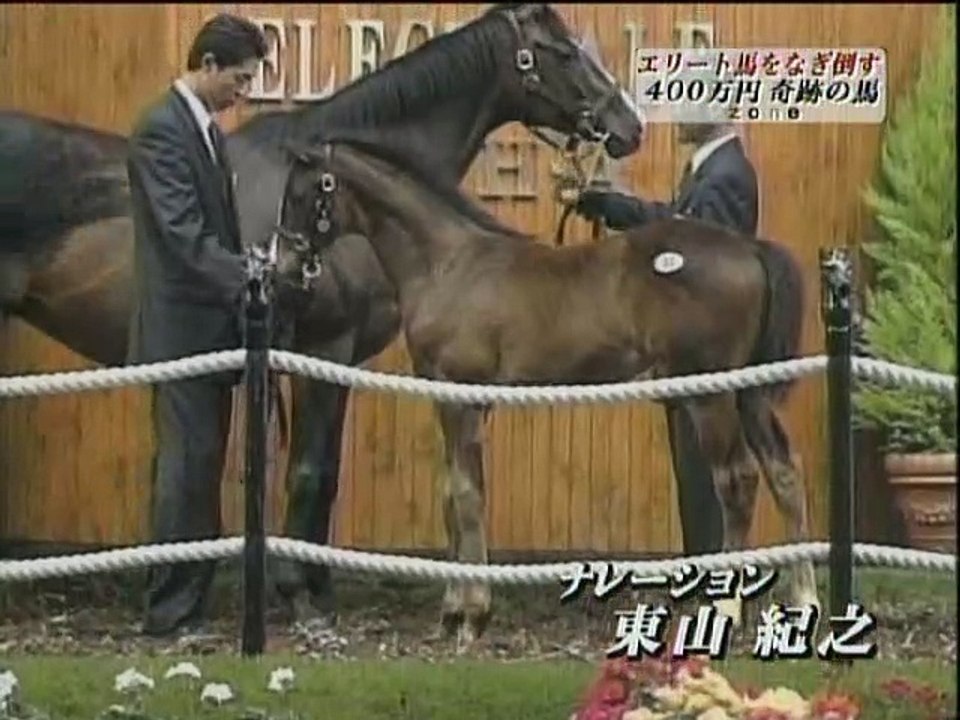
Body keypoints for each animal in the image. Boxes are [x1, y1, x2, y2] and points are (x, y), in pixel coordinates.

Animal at [0, 3, 645, 631]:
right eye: (563, 52)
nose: (628, 126)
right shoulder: (323, 346)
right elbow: (308, 471)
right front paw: (300, 599)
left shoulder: (345, 359)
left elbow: (326, 474)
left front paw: (317, 587)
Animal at [269, 136, 822, 650]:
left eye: (300, 194)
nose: (283, 269)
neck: (449, 264)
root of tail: (749, 248)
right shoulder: (460, 399)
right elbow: (452, 493)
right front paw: (452, 610)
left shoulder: (461, 394)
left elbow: (467, 496)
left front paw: (473, 615)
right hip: (749, 393)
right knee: (783, 471)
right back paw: (803, 599)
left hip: (711, 396)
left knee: (738, 480)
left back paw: (726, 606)